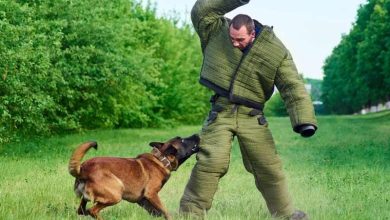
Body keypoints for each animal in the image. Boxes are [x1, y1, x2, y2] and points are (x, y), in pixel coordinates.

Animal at [67, 133, 200, 219]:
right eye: (182, 140)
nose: (197, 134)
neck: (161, 160)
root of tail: (83, 169)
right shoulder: (151, 194)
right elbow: (166, 212)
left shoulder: (143, 200)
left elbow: (158, 213)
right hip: (116, 193)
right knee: (92, 210)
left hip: (86, 198)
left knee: (82, 210)